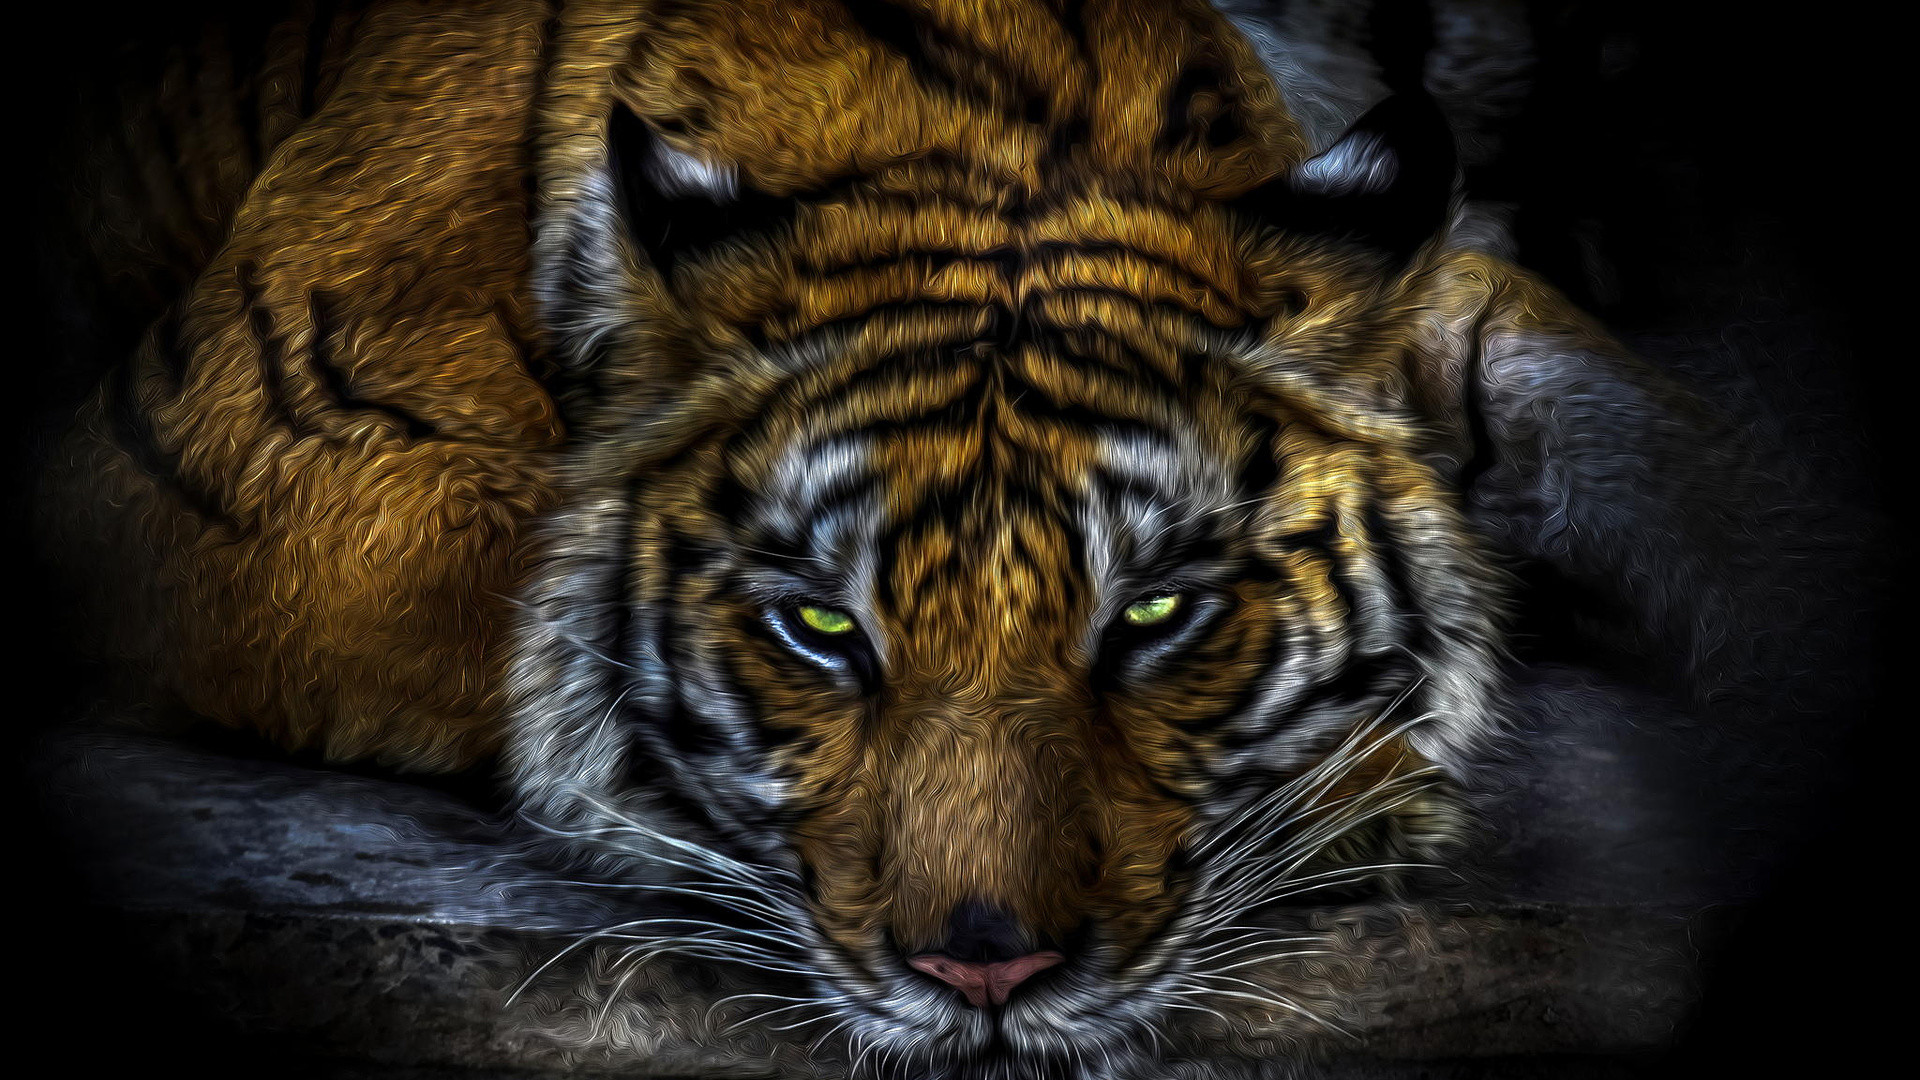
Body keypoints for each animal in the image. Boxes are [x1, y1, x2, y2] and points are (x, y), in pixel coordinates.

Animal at [32, 1, 1842, 1077]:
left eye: (1159, 615)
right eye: (822, 630)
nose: (986, 968)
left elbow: (1677, 450)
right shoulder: (249, 446)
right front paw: (1364, 779)